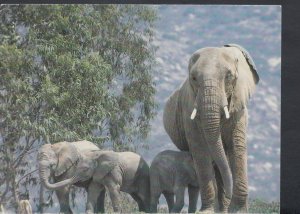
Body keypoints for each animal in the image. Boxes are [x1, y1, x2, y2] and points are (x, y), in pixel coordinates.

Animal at [163, 44, 258, 212]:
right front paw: (207, 211)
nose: (229, 193)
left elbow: (236, 146)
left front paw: (238, 211)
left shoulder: (238, 108)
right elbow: (201, 150)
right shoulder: (189, 111)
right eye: (194, 78)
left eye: (228, 76)